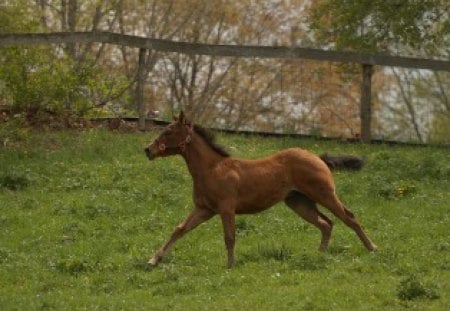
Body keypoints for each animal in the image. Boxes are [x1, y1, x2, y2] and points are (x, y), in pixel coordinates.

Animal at [145, 112, 376, 270]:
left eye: (168, 131)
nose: (148, 150)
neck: (212, 169)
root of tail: (319, 158)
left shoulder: (226, 208)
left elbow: (229, 237)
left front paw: (230, 266)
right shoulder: (204, 209)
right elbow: (180, 229)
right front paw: (153, 260)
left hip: (324, 194)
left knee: (348, 217)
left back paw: (372, 248)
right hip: (299, 202)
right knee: (326, 223)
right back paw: (320, 255)